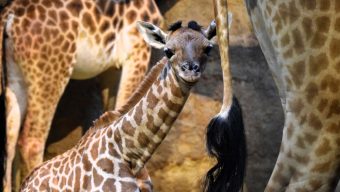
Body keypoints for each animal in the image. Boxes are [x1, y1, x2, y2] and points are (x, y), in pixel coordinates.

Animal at [0, 0, 162, 190]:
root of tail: (10, 17)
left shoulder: (111, 68)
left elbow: (113, 113)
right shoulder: (137, 50)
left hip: (14, 76)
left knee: (9, 140)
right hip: (51, 71)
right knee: (31, 141)